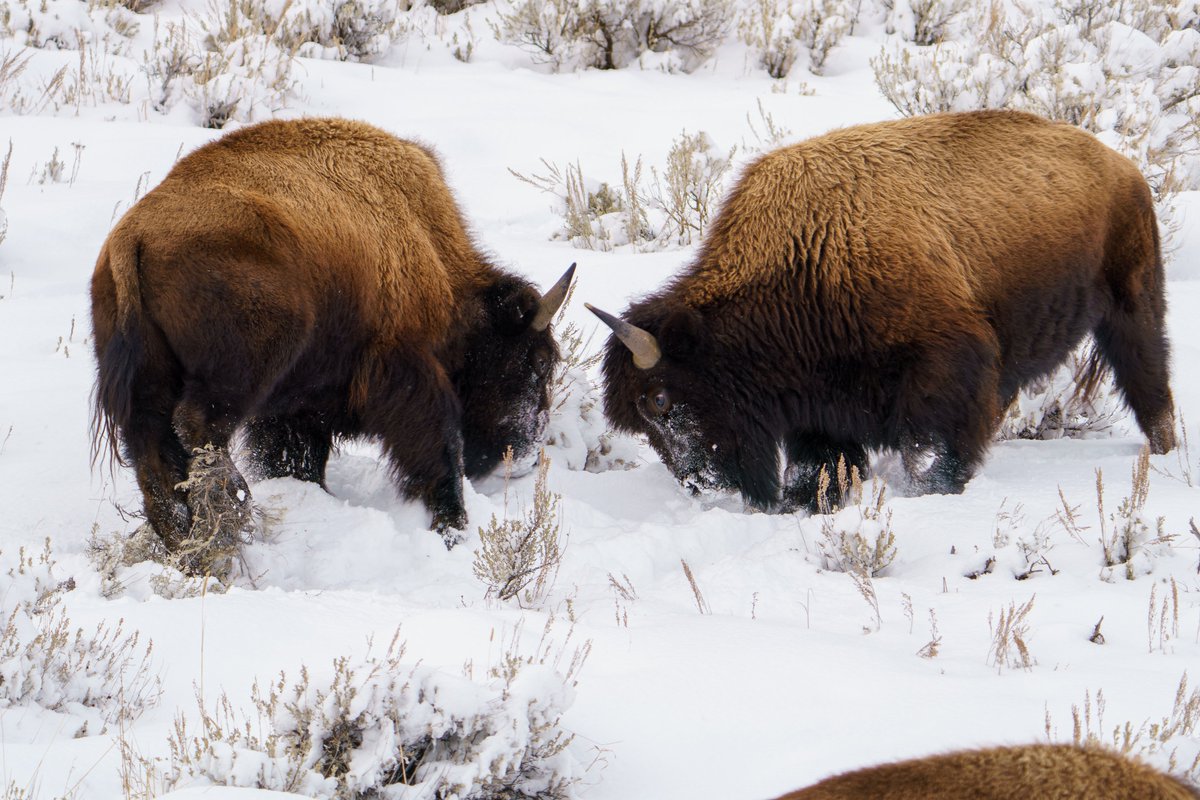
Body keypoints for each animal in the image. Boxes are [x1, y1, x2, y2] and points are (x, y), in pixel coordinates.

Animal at [92, 117, 571, 563]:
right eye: (538, 363)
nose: (526, 456)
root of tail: (134, 237)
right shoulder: (404, 369)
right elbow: (439, 444)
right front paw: (452, 526)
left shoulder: (298, 405)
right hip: (242, 368)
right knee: (196, 427)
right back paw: (231, 515)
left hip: (149, 383)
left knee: (154, 455)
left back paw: (189, 544)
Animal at [588, 109, 1171, 513]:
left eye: (659, 400)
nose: (700, 484)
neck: (807, 255)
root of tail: (1122, 168)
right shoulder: (819, 409)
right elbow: (821, 465)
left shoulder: (945, 365)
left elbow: (928, 451)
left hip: (1132, 305)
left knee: (1150, 382)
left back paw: (1163, 452)